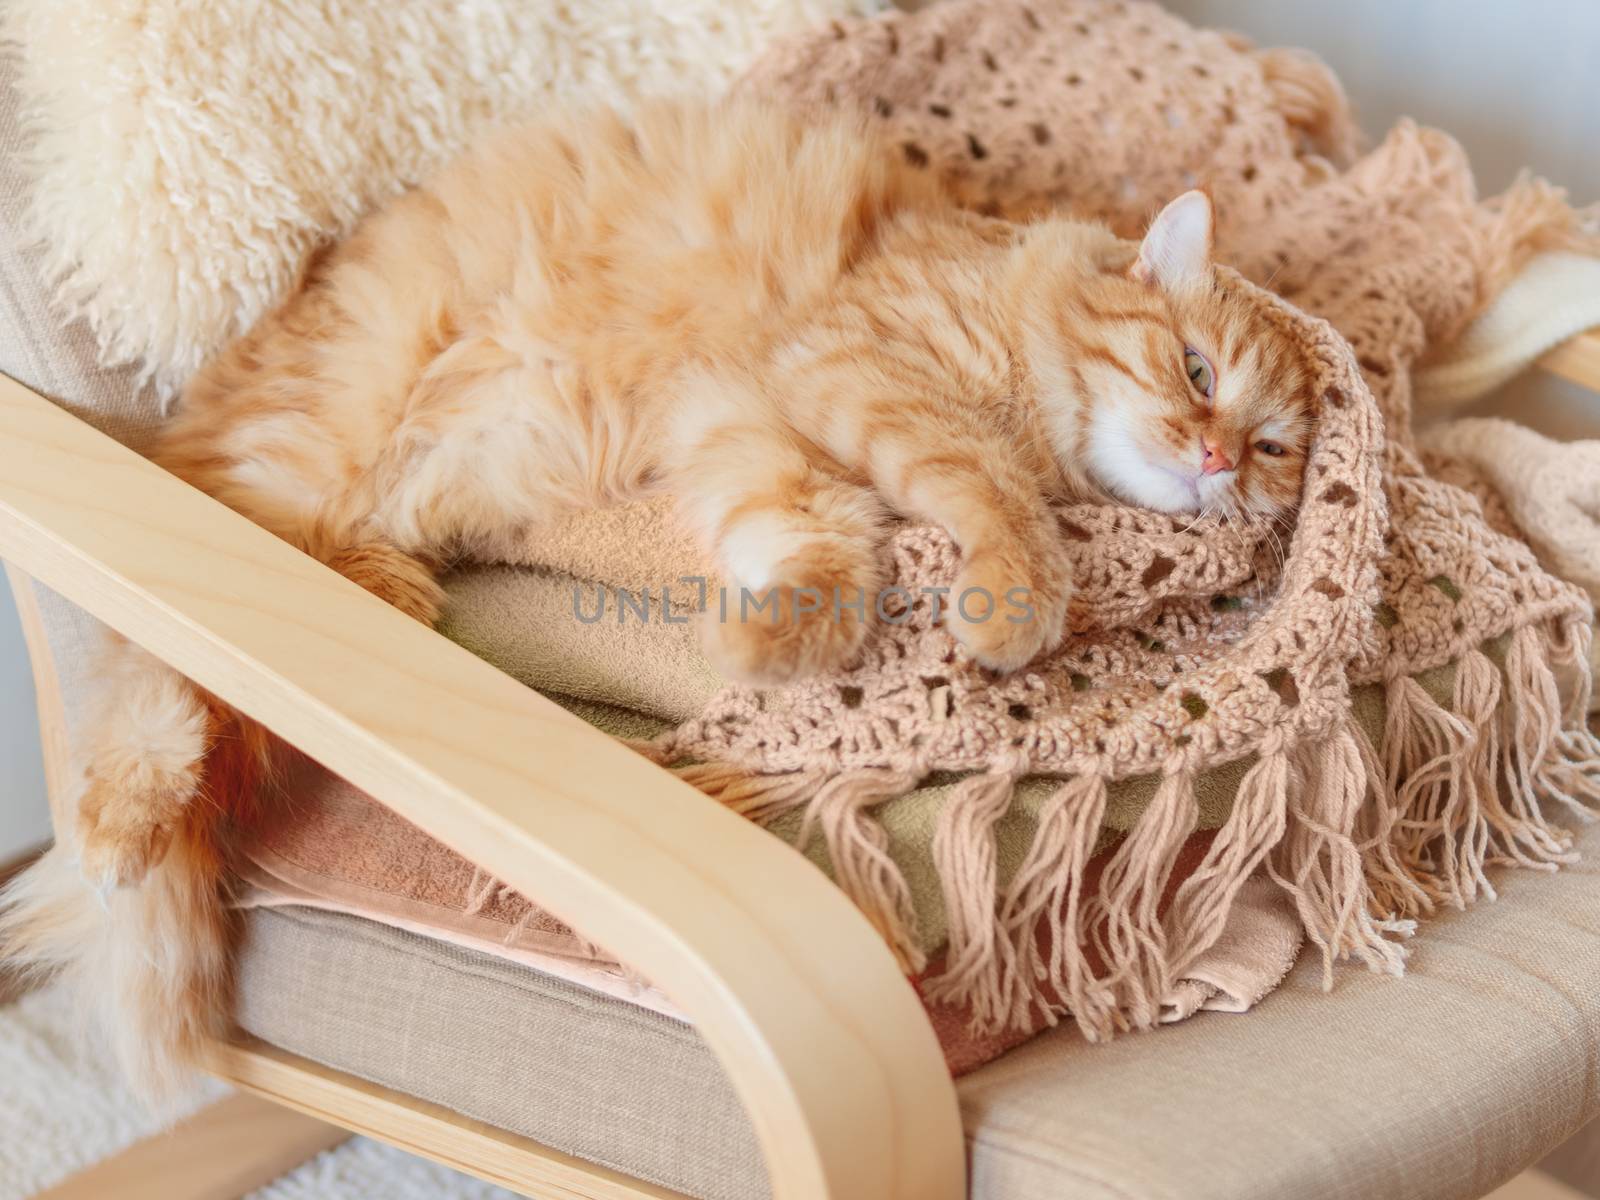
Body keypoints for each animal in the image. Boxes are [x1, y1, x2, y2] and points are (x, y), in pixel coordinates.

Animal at [0, 98, 1312, 1088]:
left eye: (1272, 451)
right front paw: (1017, 594)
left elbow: (818, 557)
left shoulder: (761, 436)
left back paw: (378, 602)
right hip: (309, 458)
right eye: (1197, 372)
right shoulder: (857, 373)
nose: (1213, 461)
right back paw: (122, 823)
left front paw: (765, 649)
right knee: (155, 674)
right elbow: (983, 491)